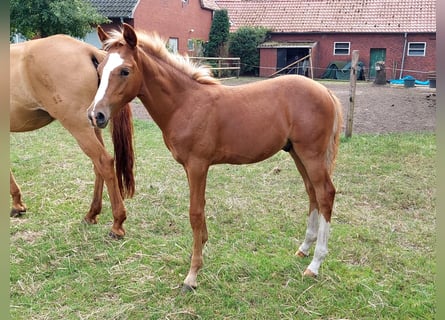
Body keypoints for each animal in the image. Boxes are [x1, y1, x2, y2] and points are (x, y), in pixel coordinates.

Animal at [10, 34, 134, 238]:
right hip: (93, 124)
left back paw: (117, 223)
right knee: (98, 166)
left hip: (78, 126)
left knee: (104, 162)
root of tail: (88, 50)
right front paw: (17, 204)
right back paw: (92, 214)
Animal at [88, 24, 342, 290]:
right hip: (296, 153)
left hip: (311, 154)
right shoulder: (191, 167)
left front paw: (192, 274)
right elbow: (200, 209)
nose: (96, 115)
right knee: (312, 193)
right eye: (99, 69)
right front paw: (203, 245)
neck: (185, 104)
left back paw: (315, 264)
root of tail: (325, 91)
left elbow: (195, 213)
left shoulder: (198, 165)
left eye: (125, 71)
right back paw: (304, 248)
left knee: (325, 194)